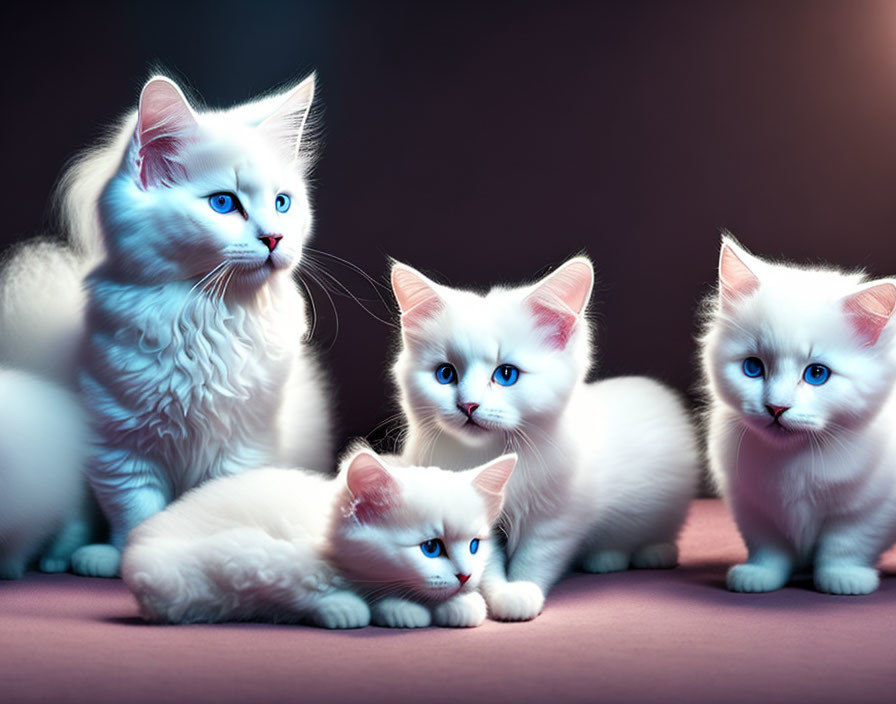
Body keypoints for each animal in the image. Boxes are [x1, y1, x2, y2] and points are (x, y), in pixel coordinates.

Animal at [124, 448, 520, 628]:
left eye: (474, 546)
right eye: (431, 547)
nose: (466, 575)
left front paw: (458, 603)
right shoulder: (253, 557)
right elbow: (303, 589)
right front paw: (368, 607)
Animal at [388, 256, 696, 620]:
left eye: (506, 374)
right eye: (445, 374)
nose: (468, 405)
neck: (495, 454)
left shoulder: (558, 516)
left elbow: (535, 556)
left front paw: (522, 591)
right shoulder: (479, 519)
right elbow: (485, 561)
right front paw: (501, 594)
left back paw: (646, 552)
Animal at [704, 236, 896, 592]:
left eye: (816, 374)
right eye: (753, 368)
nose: (776, 408)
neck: (795, 461)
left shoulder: (869, 509)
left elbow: (845, 545)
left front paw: (843, 579)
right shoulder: (752, 505)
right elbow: (769, 547)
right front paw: (758, 576)